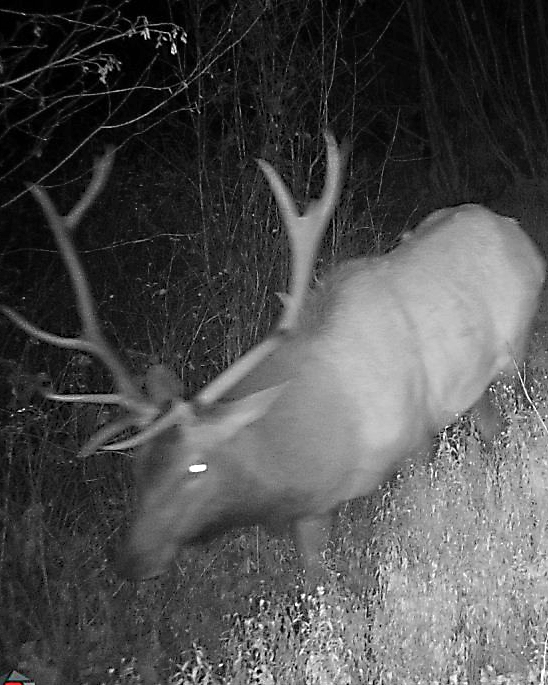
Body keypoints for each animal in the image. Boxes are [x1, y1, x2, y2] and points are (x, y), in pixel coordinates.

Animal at [1, 132, 545, 585]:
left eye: (197, 467)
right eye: (138, 464)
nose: (131, 561)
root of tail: (516, 229)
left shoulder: (414, 442)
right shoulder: (312, 511)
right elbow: (317, 583)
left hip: (515, 350)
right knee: (488, 422)